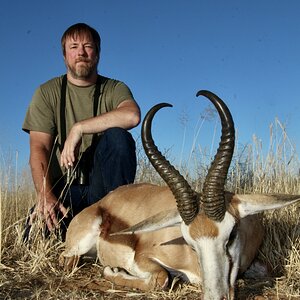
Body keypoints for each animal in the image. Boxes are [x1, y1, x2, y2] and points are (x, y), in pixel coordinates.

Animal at [59, 91, 298, 300]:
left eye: (231, 235)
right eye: (190, 244)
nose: (215, 296)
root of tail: (101, 202)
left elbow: (266, 269)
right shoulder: (143, 257)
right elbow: (161, 279)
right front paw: (112, 270)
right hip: (78, 247)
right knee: (69, 261)